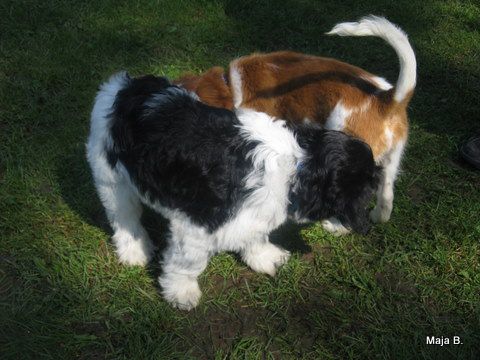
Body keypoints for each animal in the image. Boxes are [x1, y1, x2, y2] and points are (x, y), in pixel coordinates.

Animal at [85, 72, 378, 310]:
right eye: (366, 189)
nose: (368, 225)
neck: (299, 163)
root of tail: (124, 86)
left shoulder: (254, 213)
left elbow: (255, 236)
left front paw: (265, 258)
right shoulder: (196, 226)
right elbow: (188, 263)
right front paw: (181, 292)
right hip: (112, 179)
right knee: (124, 218)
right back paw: (134, 250)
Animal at [175, 16, 416, 233]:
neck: (230, 86)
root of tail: (387, 99)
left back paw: (335, 226)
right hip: (389, 161)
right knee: (386, 196)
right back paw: (377, 216)